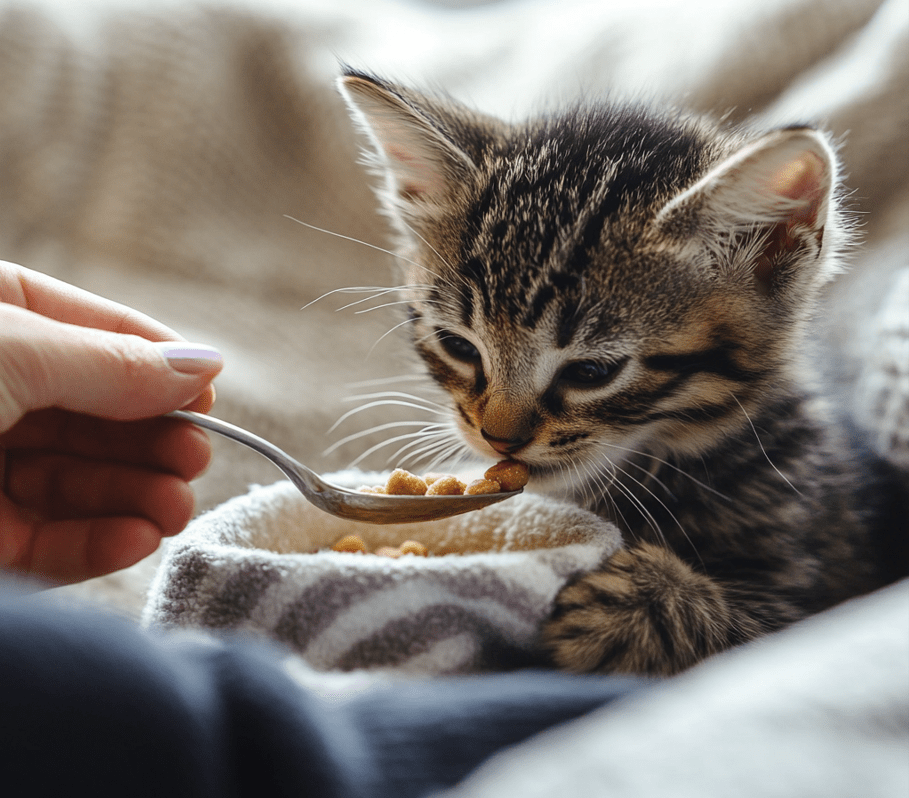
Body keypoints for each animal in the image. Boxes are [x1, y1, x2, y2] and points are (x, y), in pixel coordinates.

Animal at [336, 72, 904, 680]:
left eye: (593, 371)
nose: (498, 438)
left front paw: (637, 604)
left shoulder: (828, 576)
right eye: (458, 346)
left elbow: (768, 631)